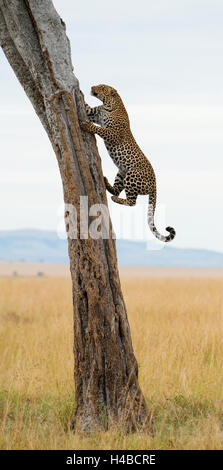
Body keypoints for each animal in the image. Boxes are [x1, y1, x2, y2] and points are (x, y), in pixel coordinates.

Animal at [80, 84, 176, 242]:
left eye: (102, 87)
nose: (92, 87)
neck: (109, 105)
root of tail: (155, 185)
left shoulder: (112, 133)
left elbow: (99, 128)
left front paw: (87, 126)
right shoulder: (94, 113)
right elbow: (87, 108)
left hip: (132, 174)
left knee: (132, 203)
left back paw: (115, 198)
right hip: (121, 172)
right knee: (117, 189)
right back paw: (106, 182)